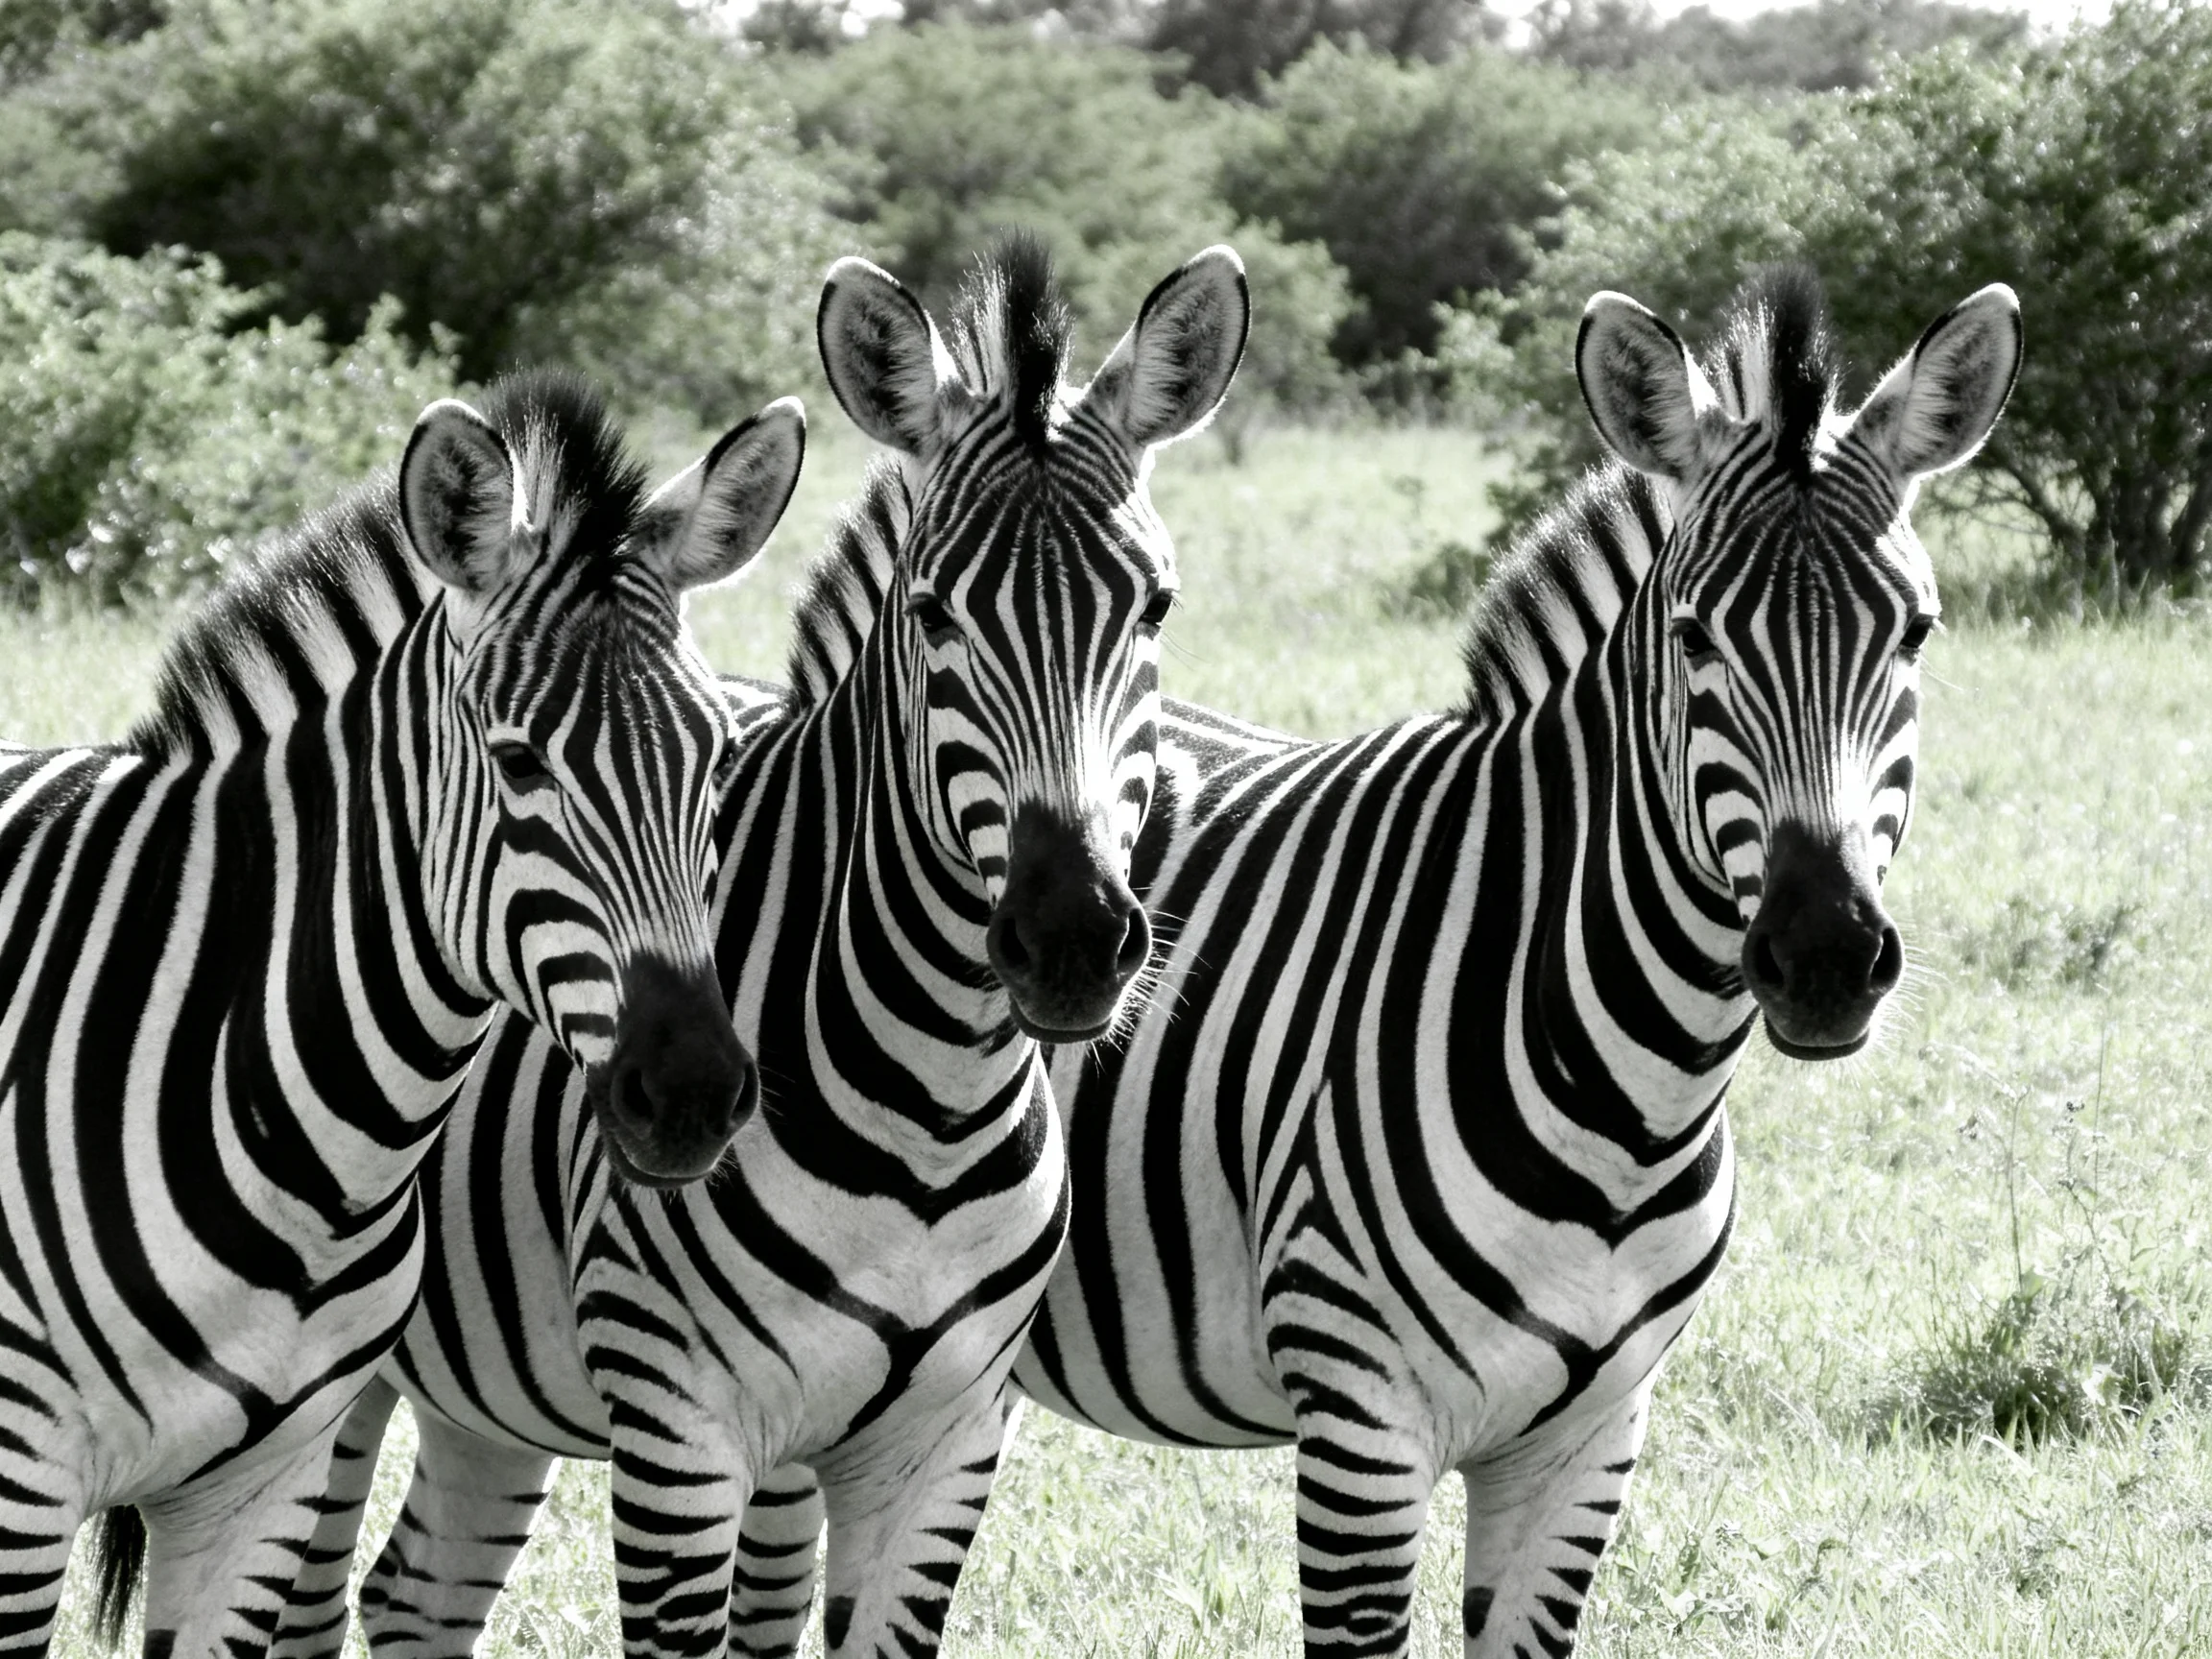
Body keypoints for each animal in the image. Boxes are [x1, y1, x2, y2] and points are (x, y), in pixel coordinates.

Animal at [269, 239, 1252, 1659]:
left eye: (1158, 610)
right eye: (935, 615)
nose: (1070, 941)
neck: (931, 1105)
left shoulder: (950, 1438)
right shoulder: (680, 1426)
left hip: (485, 1383)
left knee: (414, 1591)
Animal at [716, 268, 2025, 1655]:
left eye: (1917, 634)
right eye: (1692, 639)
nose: (1824, 954)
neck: (1628, 1083)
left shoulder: (1591, 1441)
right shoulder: (1362, 1423)